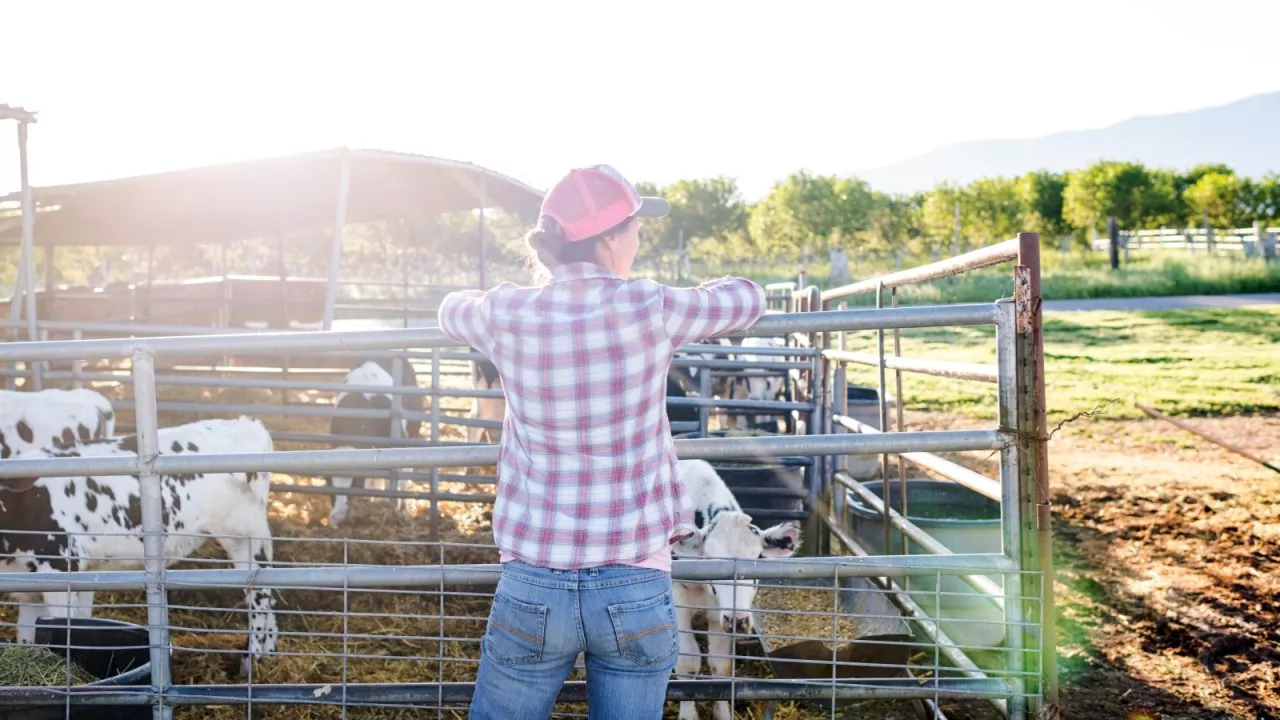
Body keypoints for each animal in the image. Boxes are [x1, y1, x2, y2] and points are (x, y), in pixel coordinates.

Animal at [0, 415, 279, 671]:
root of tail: (245, 422)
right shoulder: (32, 588)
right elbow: (31, 635)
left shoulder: (59, 569)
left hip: (245, 535)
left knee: (260, 594)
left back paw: (250, 661)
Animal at [670, 456, 798, 717]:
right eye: (710, 560)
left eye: (758, 558)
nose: (738, 620)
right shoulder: (678, 603)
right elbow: (688, 663)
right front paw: (688, 715)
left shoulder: (719, 615)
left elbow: (719, 665)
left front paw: (723, 713)